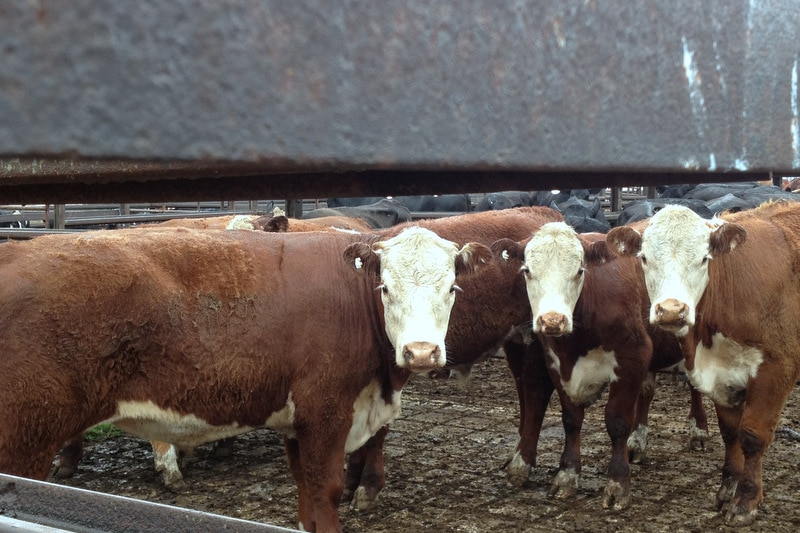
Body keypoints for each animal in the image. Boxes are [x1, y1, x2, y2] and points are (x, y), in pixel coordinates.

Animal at [0, 225, 490, 532]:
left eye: (452, 288)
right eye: (386, 288)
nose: (421, 352)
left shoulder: (298, 422)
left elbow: (305, 494)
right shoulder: (326, 411)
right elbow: (325, 491)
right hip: (25, 437)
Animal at [494, 222, 708, 510]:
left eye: (579, 270)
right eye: (527, 270)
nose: (552, 320)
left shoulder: (632, 356)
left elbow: (617, 422)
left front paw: (617, 484)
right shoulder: (555, 361)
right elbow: (571, 419)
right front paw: (567, 475)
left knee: (695, 384)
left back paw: (699, 431)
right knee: (646, 393)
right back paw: (637, 442)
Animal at [608, 202, 800, 524]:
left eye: (703, 259)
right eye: (645, 258)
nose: (671, 310)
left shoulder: (777, 368)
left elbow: (752, 436)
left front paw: (745, 501)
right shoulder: (719, 373)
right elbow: (731, 433)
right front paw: (728, 489)